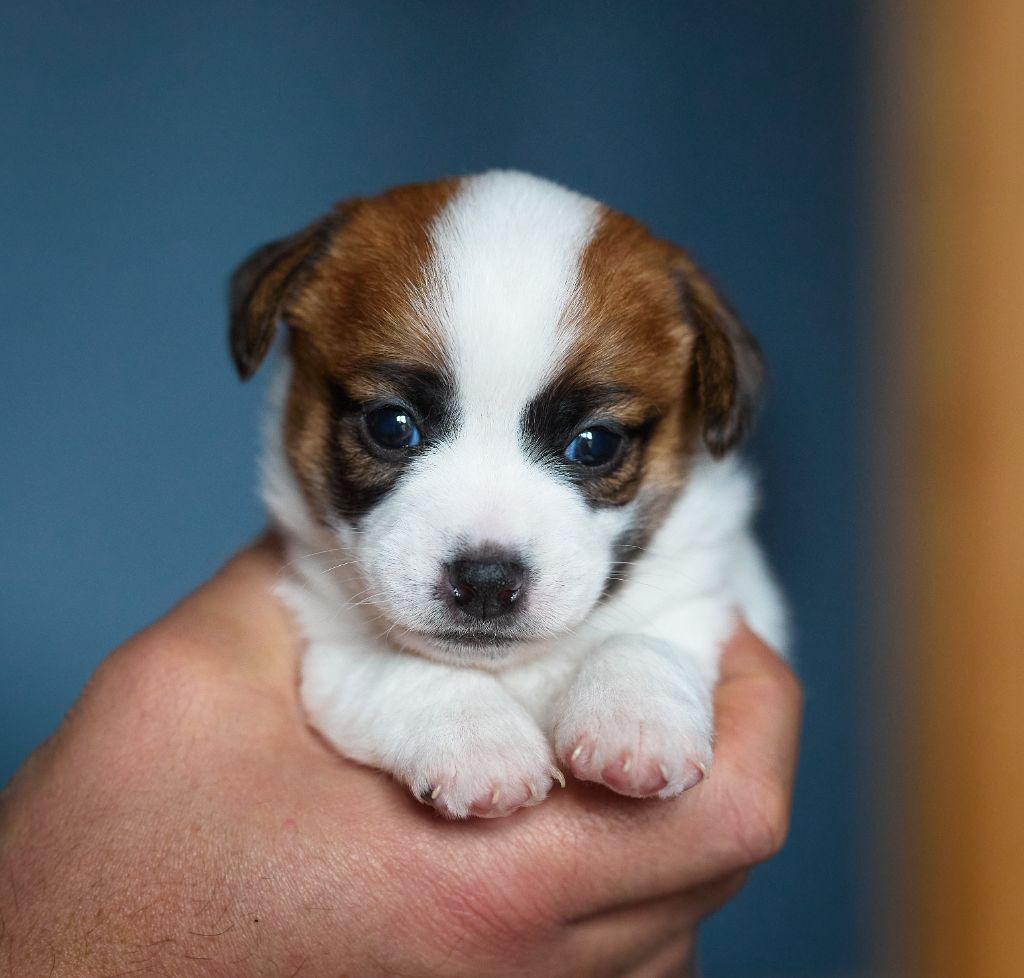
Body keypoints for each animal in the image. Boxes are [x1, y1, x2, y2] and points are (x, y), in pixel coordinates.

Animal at [228, 169, 786, 819]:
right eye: (391, 426)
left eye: (594, 444)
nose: (488, 581)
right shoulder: (328, 644)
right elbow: (397, 668)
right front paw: (475, 736)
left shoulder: (710, 595)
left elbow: (646, 636)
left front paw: (637, 714)